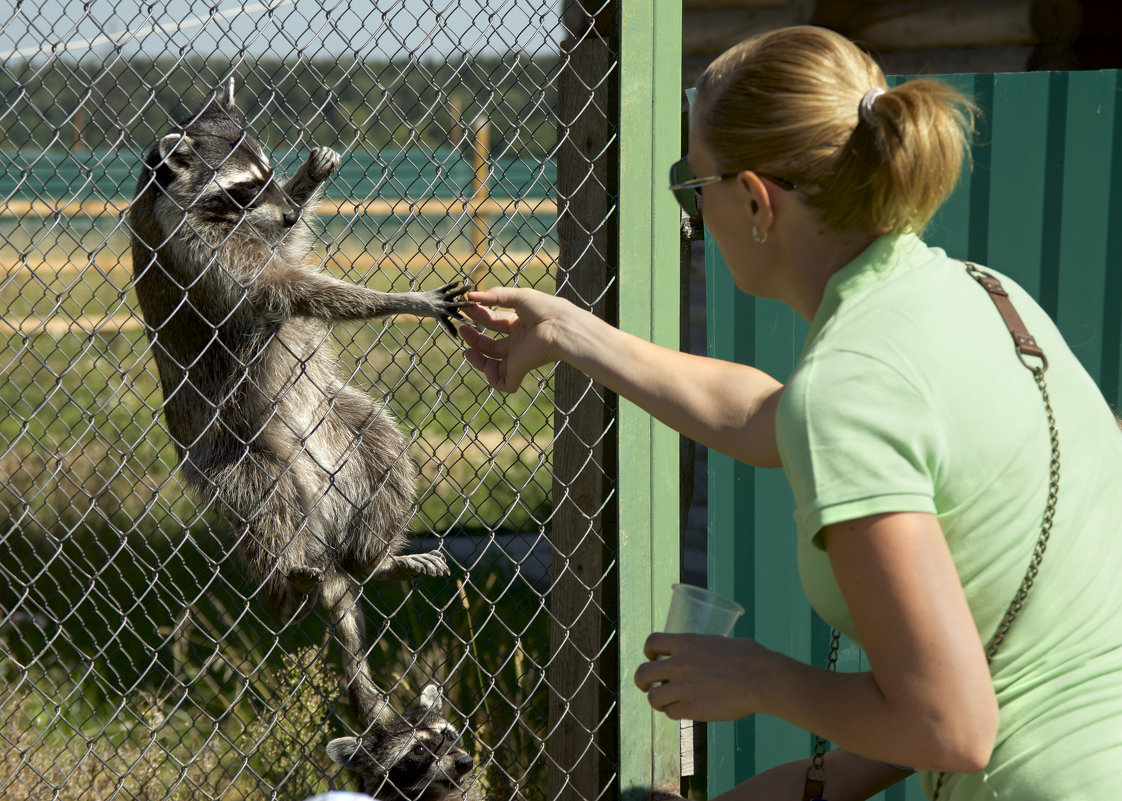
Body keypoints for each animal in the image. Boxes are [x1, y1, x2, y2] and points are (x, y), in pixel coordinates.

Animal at [128, 79, 468, 722]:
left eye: (268, 174)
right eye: (244, 185)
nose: (285, 203)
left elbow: (289, 248)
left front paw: (308, 184)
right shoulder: (197, 250)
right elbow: (289, 288)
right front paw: (401, 300)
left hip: (341, 426)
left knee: (383, 444)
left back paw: (374, 558)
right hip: (228, 461)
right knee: (269, 496)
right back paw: (288, 582)